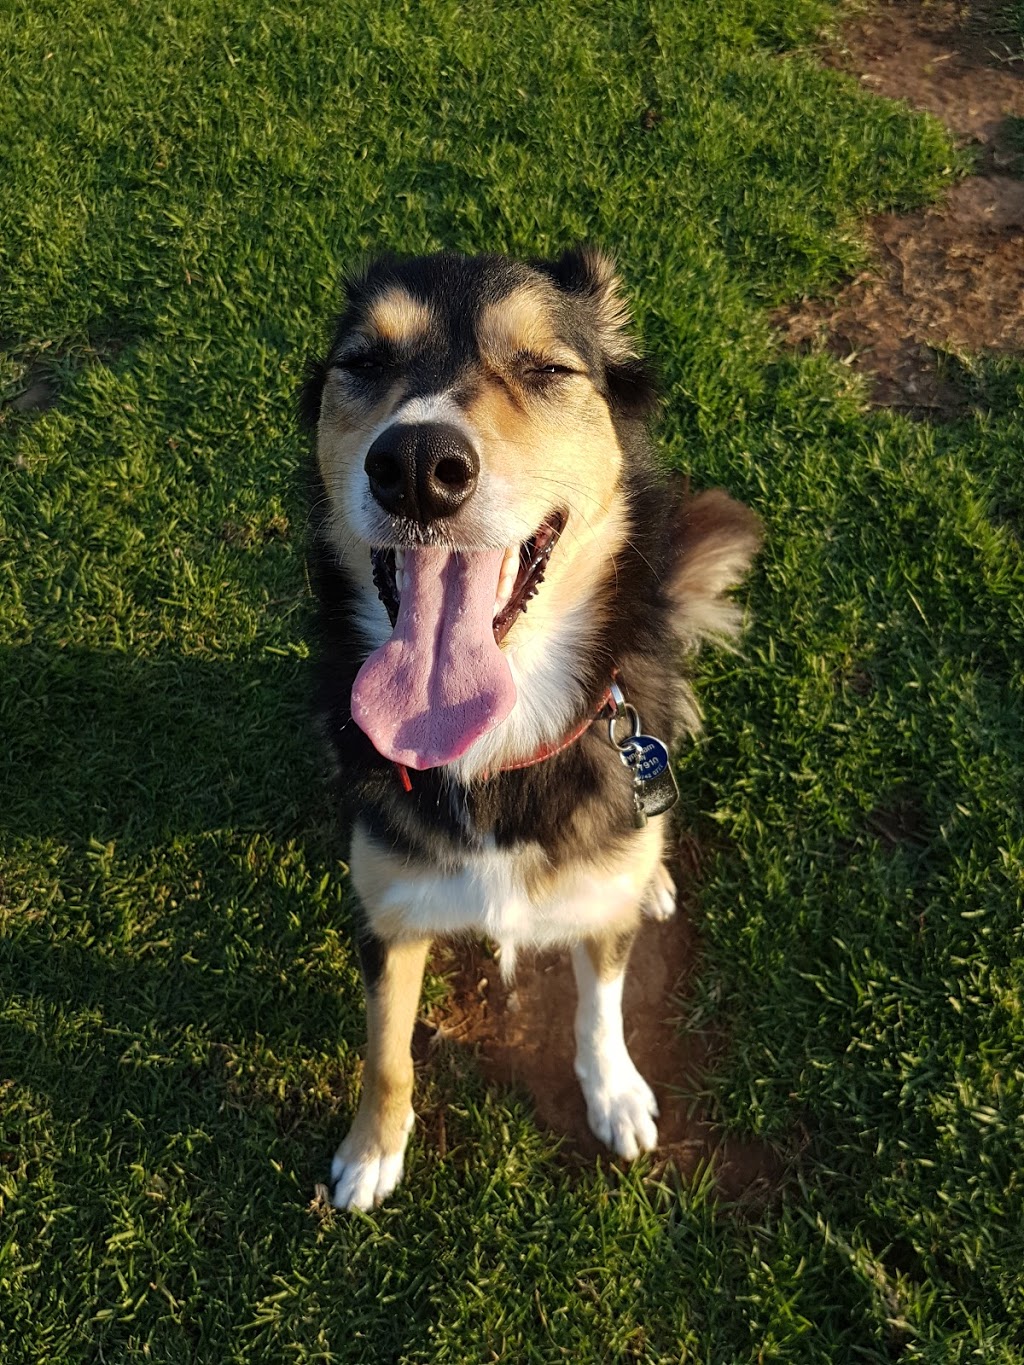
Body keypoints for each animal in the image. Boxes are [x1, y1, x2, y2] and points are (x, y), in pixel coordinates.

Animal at [299, 245, 764, 1206]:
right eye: (361, 362)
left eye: (547, 368)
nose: (416, 464)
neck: (495, 748)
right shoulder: (387, 911)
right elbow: (386, 1044)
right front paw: (371, 1148)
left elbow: (601, 1005)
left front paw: (615, 1094)